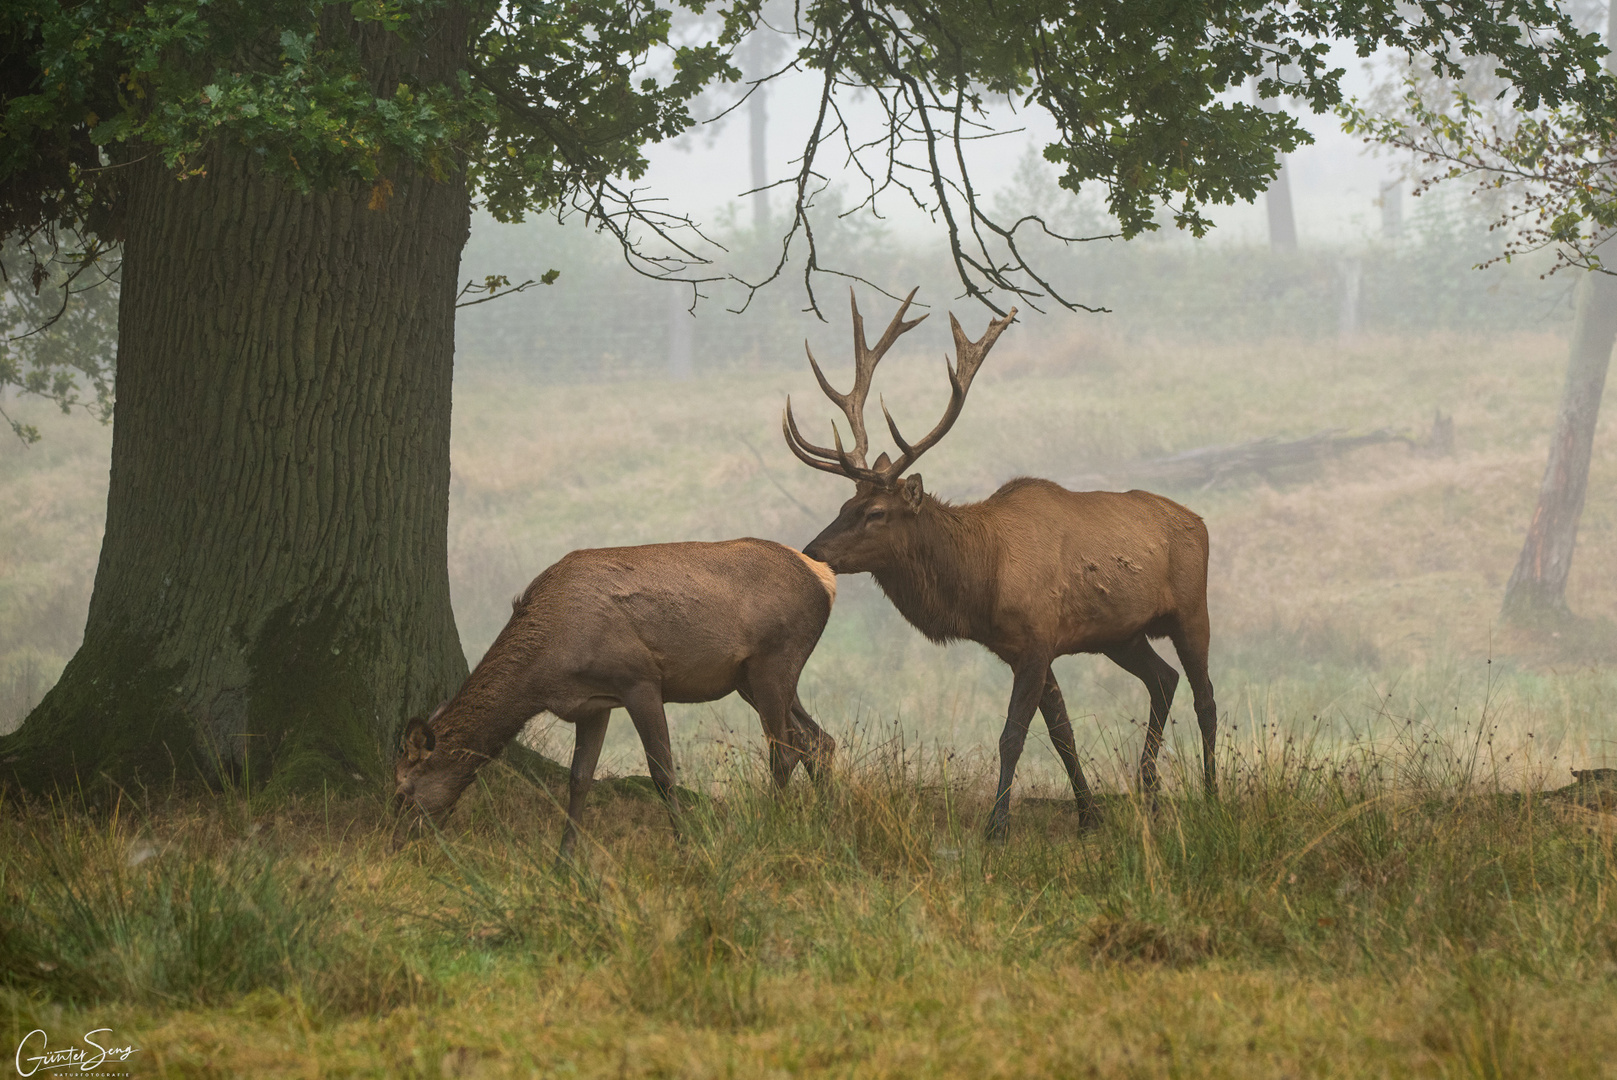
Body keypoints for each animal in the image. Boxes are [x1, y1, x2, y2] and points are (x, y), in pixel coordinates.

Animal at [392, 540, 840, 860]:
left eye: (403, 791)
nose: (394, 844)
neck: (545, 672)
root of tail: (826, 580)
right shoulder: (593, 705)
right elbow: (578, 779)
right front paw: (564, 862)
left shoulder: (639, 680)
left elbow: (662, 773)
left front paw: (687, 852)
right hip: (749, 679)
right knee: (818, 740)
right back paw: (827, 822)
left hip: (773, 660)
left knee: (784, 750)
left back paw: (770, 829)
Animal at [782, 291, 1215, 840]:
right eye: (844, 505)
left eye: (876, 512)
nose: (813, 551)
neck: (982, 583)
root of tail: (1199, 521)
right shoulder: (1024, 647)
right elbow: (1062, 732)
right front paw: (1089, 816)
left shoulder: (1037, 638)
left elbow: (1013, 734)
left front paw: (997, 826)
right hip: (1121, 634)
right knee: (1164, 679)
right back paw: (1149, 790)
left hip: (1191, 608)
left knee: (1205, 698)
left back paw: (1212, 794)